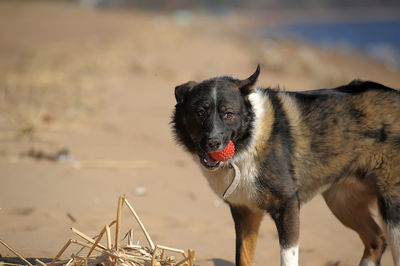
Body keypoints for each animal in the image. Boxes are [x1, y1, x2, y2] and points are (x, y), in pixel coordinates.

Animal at [170, 65, 400, 266]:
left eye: (229, 114)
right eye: (200, 112)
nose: (213, 143)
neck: (249, 140)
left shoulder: (287, 206)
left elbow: (287, 257)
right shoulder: (245, 212)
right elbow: (243, 257)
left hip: (392, 212)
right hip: (342, 202)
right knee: (376, 240)